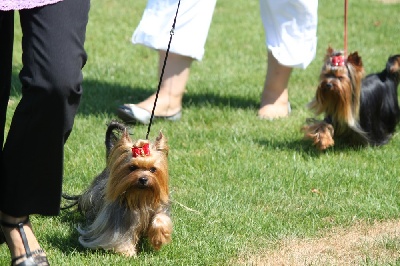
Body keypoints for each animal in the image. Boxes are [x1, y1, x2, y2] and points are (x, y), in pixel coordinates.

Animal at [65, 121, 172, 256]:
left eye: (153, 169)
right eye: (132, 167)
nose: (143, 179)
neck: (140, 196)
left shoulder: (159, 206)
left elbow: (161, 218)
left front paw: (158, 239)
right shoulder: (119, 218)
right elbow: (121, 236)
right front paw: (128, 252)